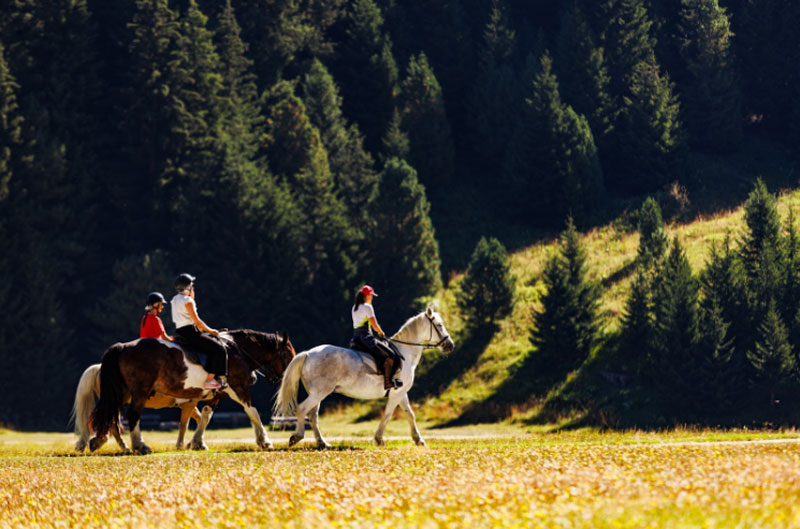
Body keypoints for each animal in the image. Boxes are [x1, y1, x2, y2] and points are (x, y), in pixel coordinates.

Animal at [90, 328, 296, 452]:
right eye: (288, 355)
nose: (288, 378)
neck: (236, 350)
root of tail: (122, 346)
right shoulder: (237, 388)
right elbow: (253, 412)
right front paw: (264, 441)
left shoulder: (216, 395)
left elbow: (205, 417)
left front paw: (197, 442)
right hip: (139, 392)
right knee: (132, 416)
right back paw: (139, 445)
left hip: (120, 395)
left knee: (113, 419)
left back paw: (103, 441)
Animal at [276, 308, 454, 448]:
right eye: (439, 325)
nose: (450, 346)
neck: (406, 354)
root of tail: (308, 353)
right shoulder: (397, 393)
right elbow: (388, 414)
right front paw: (379, 439)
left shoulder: (401, 392)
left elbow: (409, 414)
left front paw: (418, 440)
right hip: (319, 392)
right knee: (302, 409)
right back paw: (297, 436)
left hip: (317, 393)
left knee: (313, 415)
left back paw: (322, 443)